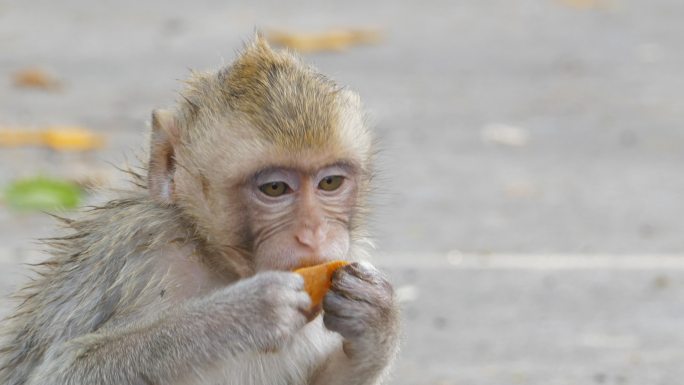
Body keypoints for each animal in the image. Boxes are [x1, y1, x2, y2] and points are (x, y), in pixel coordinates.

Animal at [0, 34, 400, 382]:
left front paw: (377, 317)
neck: (216, 259)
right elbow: (63, 371)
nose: (313, 234)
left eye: (329, 183)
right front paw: (237, 316)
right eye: (275, 188)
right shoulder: (144, 257)